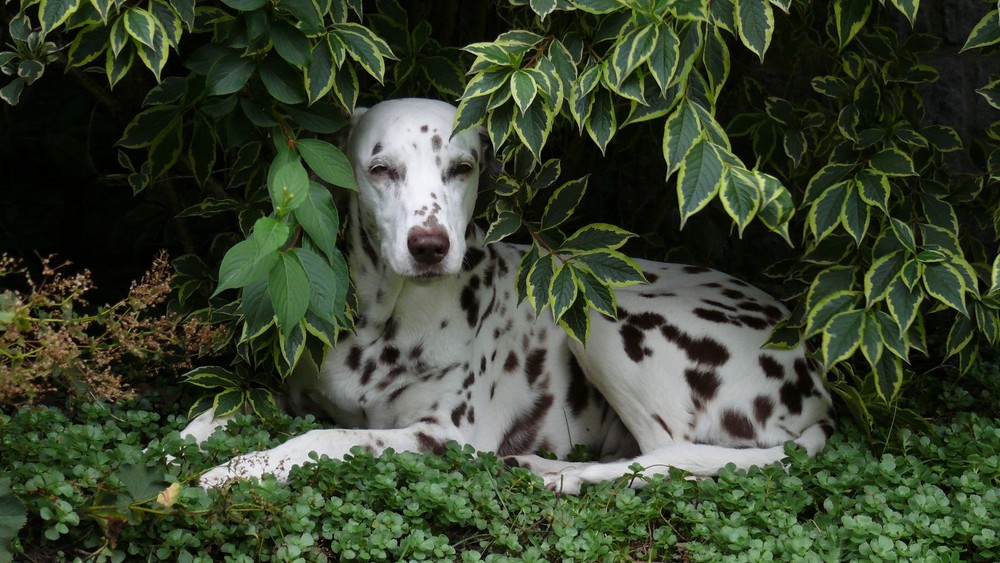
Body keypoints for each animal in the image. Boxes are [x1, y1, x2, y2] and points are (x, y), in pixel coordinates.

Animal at [189, 98, 836, 494]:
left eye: (461, 167)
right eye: (380, 169)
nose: (430, 245)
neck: (383, 322)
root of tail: (815, 373)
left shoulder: (439, 436)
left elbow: (323, 436)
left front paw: (241, 467)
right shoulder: (289, 390)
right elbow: (220, 406)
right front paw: (189, 446)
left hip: (601, 311)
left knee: (666, 454)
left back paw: (558, 471)